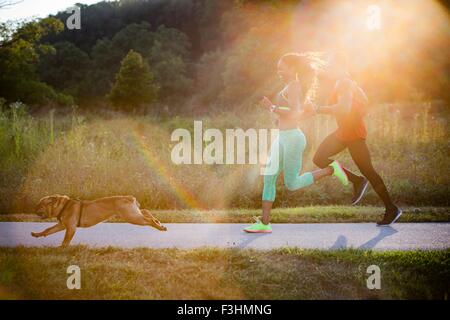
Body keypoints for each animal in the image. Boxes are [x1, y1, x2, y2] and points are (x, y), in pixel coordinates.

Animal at [32, 194, 167, 246]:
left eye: (40, 204)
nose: (34, 208)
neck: (63, 206)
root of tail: (129, 197)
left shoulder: (70, 228)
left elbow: (66, 240)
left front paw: (62, 248)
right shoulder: (61, 225)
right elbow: (48, 230)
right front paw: (37, 234)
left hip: (132, 217)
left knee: (148, 220)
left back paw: (159, 226)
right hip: (133, 214)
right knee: (146, 212)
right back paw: (158, 222)